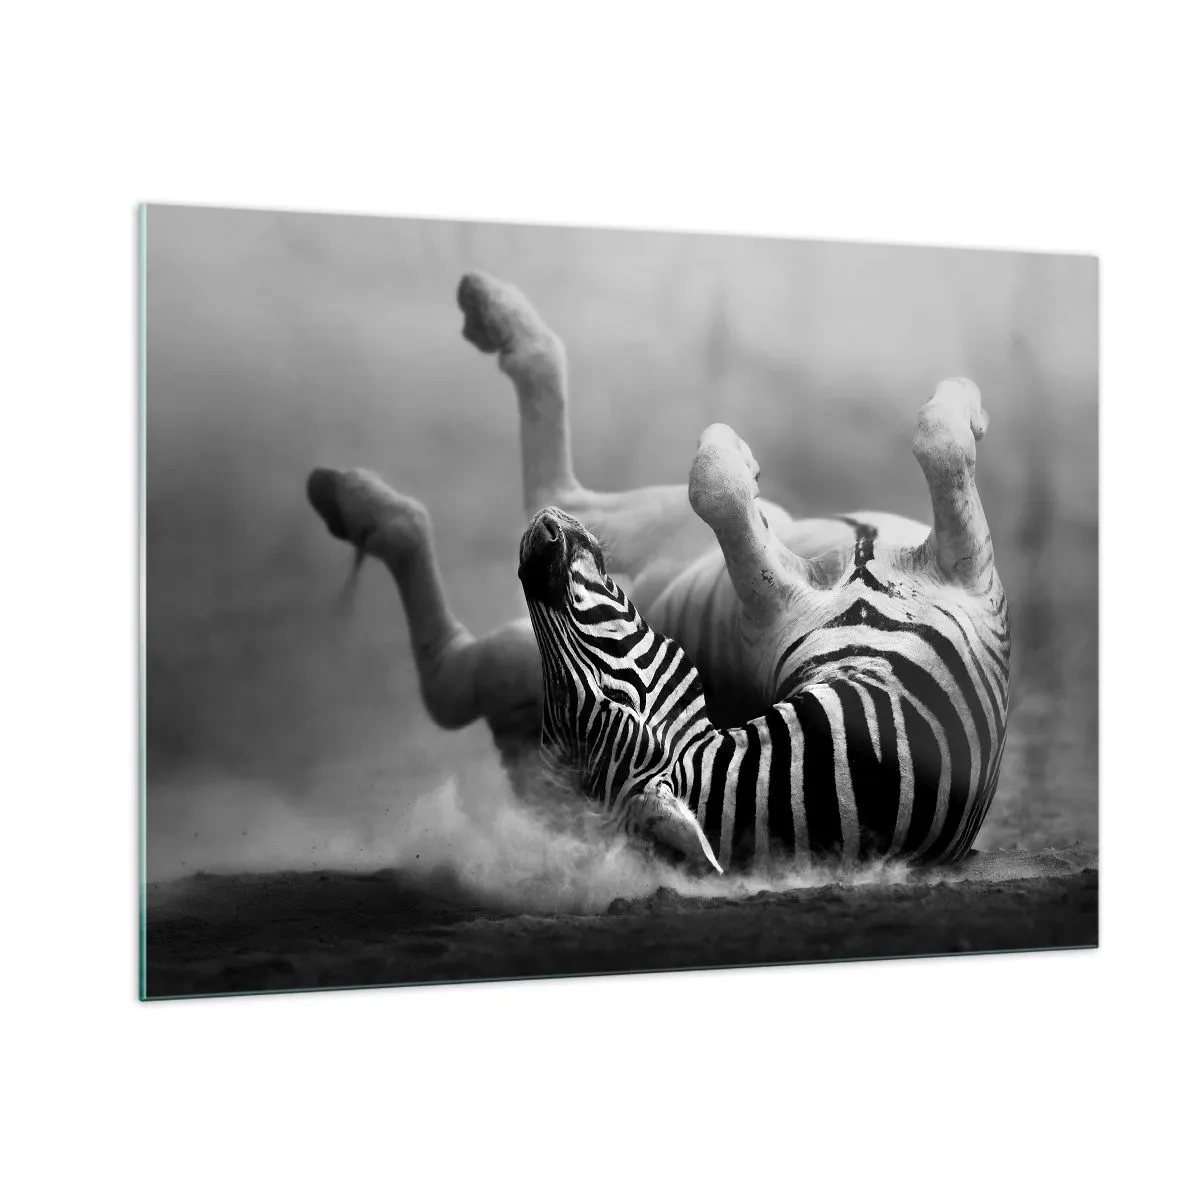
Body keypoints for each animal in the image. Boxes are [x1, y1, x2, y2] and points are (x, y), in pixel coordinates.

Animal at [306, 271, 1010, 867]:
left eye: (604, 693)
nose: (538, 556)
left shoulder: (968, 578)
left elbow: (934, 447)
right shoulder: (782, 602)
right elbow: (728, 488)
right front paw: (737, 453)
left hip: (596, 555)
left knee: (466, 648)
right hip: (622, 530)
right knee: (537, 511)